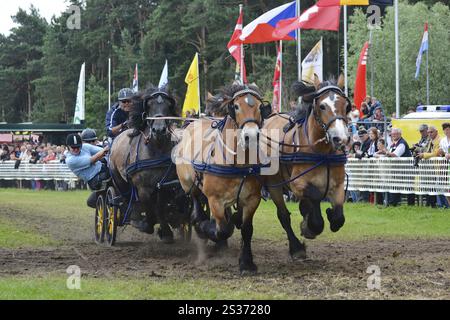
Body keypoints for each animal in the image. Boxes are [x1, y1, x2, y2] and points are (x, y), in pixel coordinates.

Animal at [109, 85, 190, 245]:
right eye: (149, 105)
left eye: (168, 105)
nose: (158, 130)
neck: (156, 148)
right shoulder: (143, 188)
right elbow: (150, 208)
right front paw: (147, 225)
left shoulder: (164, 186)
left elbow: (159, 208)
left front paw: (165, 232)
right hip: (119, 179)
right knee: (126, 197)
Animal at [173, 84, 270, 274]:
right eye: (236, 106)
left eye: (259, 107)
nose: (251, 136)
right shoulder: (214, 200)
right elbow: (222, 229)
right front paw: (207, 229)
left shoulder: (252, 199)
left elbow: (247, 229)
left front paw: (247, 263)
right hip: (190, 185)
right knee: (196, 209)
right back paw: (201, 226)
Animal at [262, 75, 350, 260]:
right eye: (322, 106)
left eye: (346, 106)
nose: (341, 138)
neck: (322, 153)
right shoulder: (297, 184)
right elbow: (315, 197)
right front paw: (310, 225)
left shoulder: (338, 185)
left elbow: (339, 218)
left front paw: (329, 215)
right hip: (274, 185)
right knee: (283, 216)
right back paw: (296, 247)